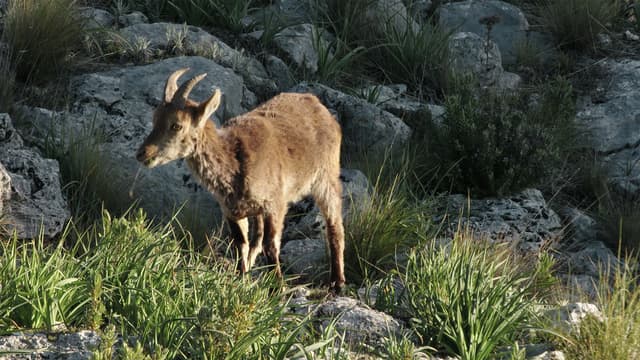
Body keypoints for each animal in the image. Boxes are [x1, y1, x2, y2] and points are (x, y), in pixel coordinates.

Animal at [134, 68, 344, 292]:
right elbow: (240, 244)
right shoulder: (232, 211)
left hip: (326, 177)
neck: (234, 162)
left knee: (334, 225)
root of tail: (318, 105)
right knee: (256, 240)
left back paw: (337, 281)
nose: (142, 153)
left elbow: (271, 245)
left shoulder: (275, 204)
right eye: (155, 118)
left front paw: (277, 287)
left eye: (176, 125)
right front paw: (240, 279)